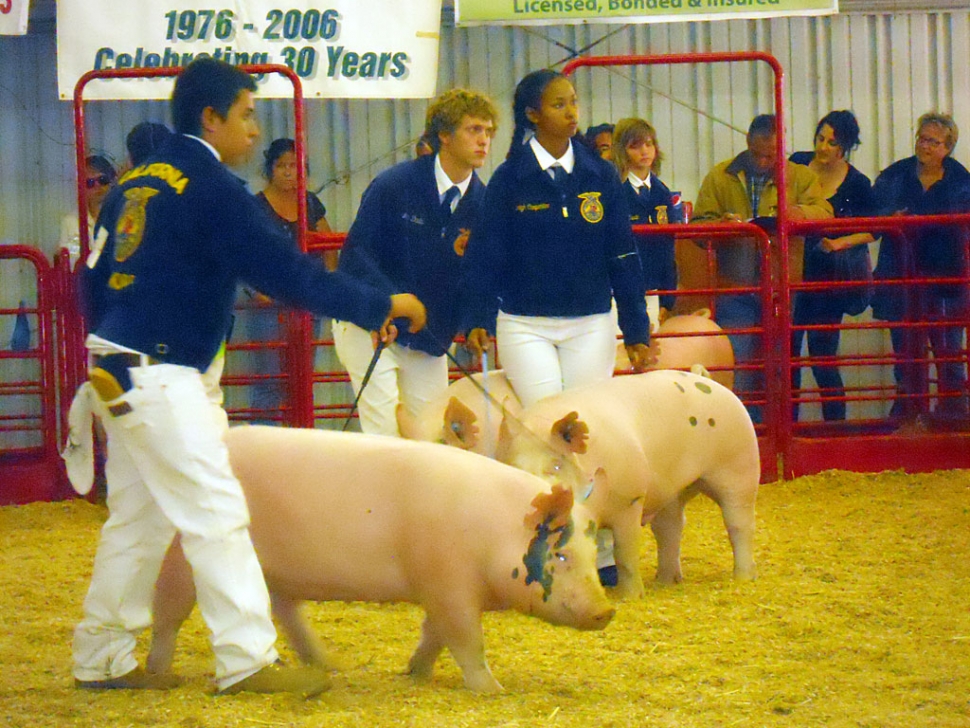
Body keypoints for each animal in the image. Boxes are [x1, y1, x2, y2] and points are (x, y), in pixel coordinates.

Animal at [147, 426, 608, 692]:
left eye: (591, 553)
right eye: (561, 554)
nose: (606, 611)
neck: (493, 530)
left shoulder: (441, 586)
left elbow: (434, 635)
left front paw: (415, 672)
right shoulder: (447, 581)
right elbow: (465, 638)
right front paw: (492, 690)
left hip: (274, 571)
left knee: (285, 610)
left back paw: (327, 664)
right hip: (180, 555)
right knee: (167, 614)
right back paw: (159, 674)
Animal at [492, 372, 756, 600]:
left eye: (556, 466)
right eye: (511, 465)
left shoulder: (631, 500)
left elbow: (624, 551)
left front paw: (629, 597)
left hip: (739, 467)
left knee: (738, 523)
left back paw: (743, 578)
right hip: (671, 493)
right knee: (670, 529)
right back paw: (666, 582)